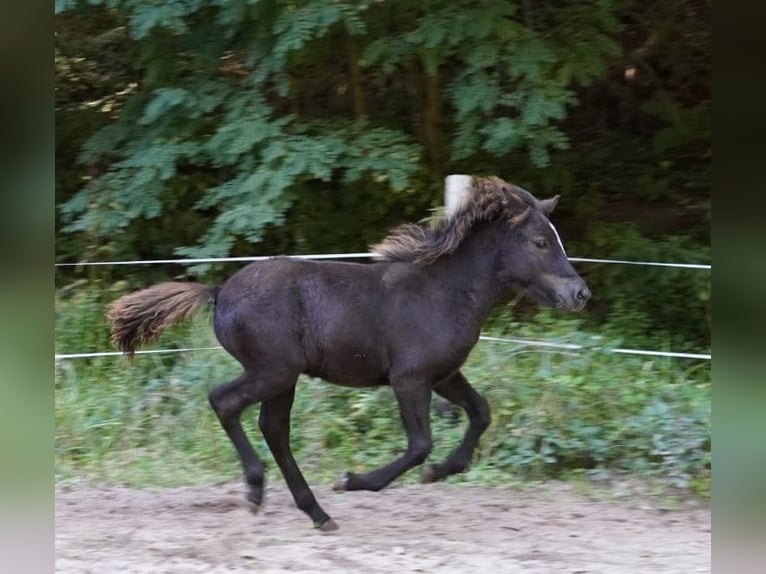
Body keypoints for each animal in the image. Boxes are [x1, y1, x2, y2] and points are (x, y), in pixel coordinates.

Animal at [108, 176, 590, 531]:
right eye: (540, 241)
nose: (580, 294)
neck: (443, 292)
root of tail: (220, 291)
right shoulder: (409, 379)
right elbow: (420, 445)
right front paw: (353, 480)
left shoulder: (445, 375)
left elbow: (481, 413)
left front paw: (440, 472)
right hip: (272, 372)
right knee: (224, 402)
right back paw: (259, 491)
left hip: (282, 380)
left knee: (273, 429)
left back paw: (316, 513)